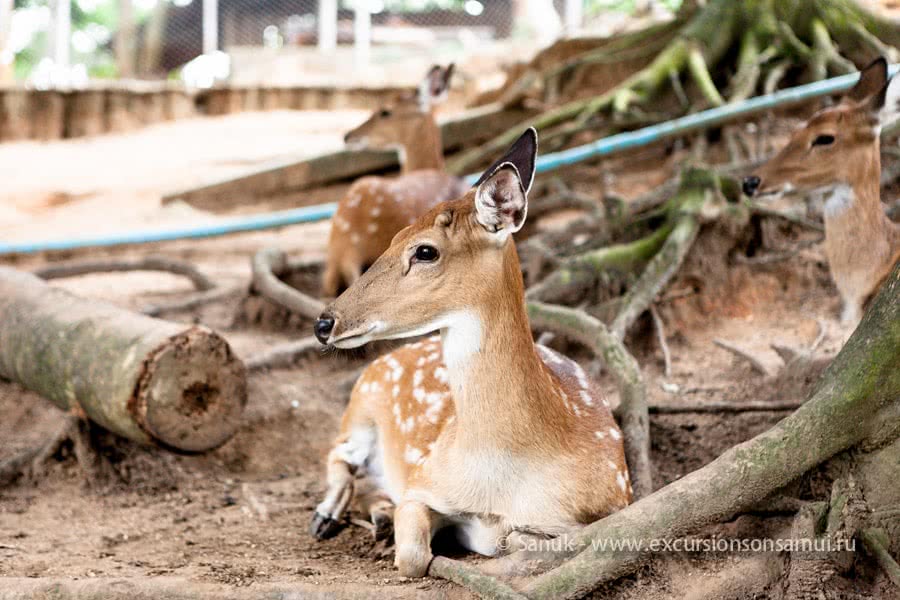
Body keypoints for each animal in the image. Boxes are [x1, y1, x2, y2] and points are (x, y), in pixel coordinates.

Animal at [310, 130, 632, 576]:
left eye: (425, 251)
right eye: (393, 238)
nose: (324, 323)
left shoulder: (615, 503)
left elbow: (525, 541)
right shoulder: (423, 481)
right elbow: (413, 555)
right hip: (361, 405)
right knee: (338, 453)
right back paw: (328, 515)